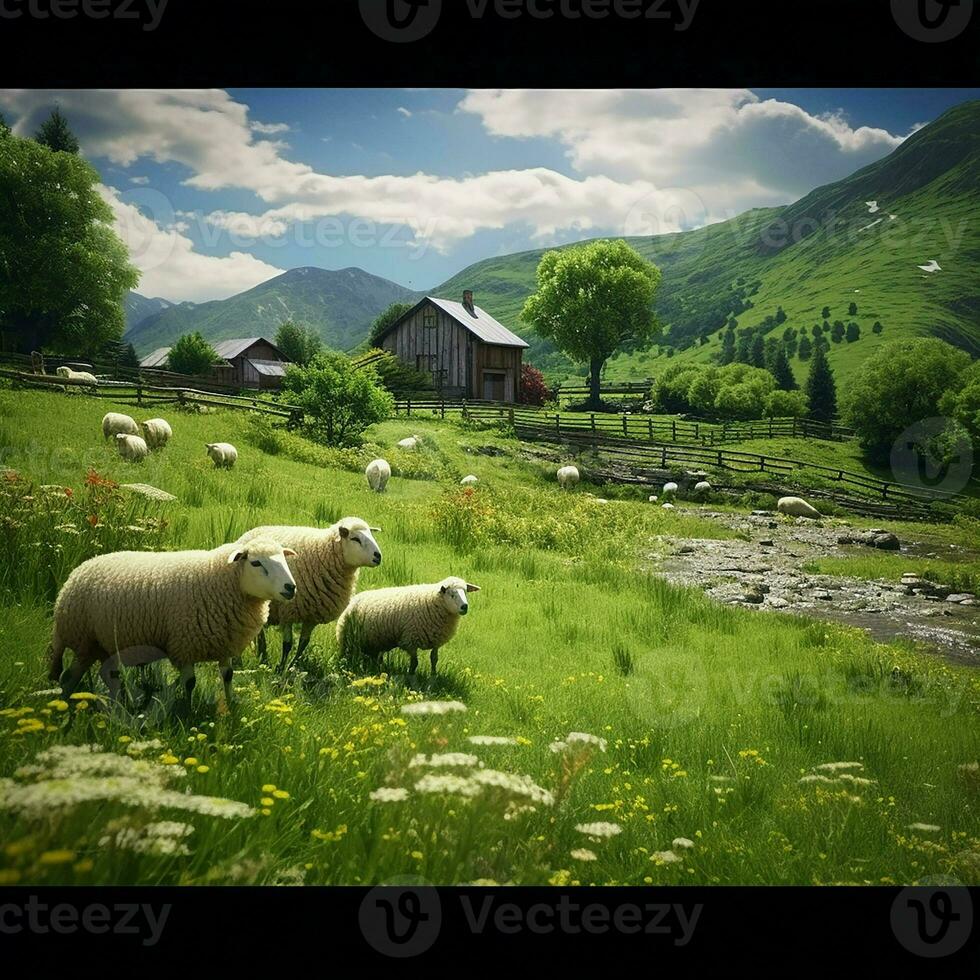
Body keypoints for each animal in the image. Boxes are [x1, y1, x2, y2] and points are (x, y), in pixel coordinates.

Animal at [47, 536, 298, 704]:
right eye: (256, 563)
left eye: (284, 561)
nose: (291, 588)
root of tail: (77, 572)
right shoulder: (184, 644)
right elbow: (190, 683)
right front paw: (187, 711)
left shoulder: (224, 643)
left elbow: (228, 676)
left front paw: (230, 705)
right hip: (83, 638)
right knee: (68, 677)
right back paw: (64, 707)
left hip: (102, 644)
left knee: (106, 675)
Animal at [236, 516, 382, 668]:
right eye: (355, 539)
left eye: (371, 535)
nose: (378, 556)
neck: (323, 553)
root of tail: (249, 533)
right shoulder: (288, 610)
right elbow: (287, 644)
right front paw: (281, 668)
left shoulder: (312, 616)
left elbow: (303, 644)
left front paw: (292, 665)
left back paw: (262, 656)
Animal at [336, 580, 482, 676]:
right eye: (452, 594)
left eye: (466, 592)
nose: (464, 607)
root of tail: (354, 598)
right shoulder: (410, 640)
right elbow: (414, 663)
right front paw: (410, 676)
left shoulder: (436, 640)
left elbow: (434, 659)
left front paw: (433, 675)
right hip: (347, 639)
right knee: (346, 655)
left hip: (373, 643)